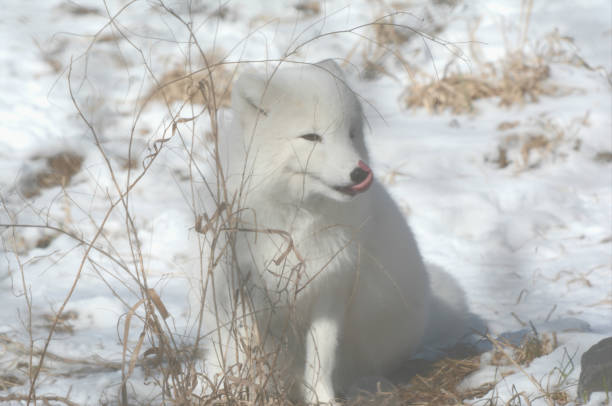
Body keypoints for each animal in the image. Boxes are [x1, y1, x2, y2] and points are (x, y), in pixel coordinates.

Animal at [189, 59, 462, 402]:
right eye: (311, 137)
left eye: (351, 133)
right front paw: (247, 393)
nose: (359, 172)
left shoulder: (331, 289)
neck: (296, 223)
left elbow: (321, 359)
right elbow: (248, 350)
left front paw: (322, 399)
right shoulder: (243, 288)